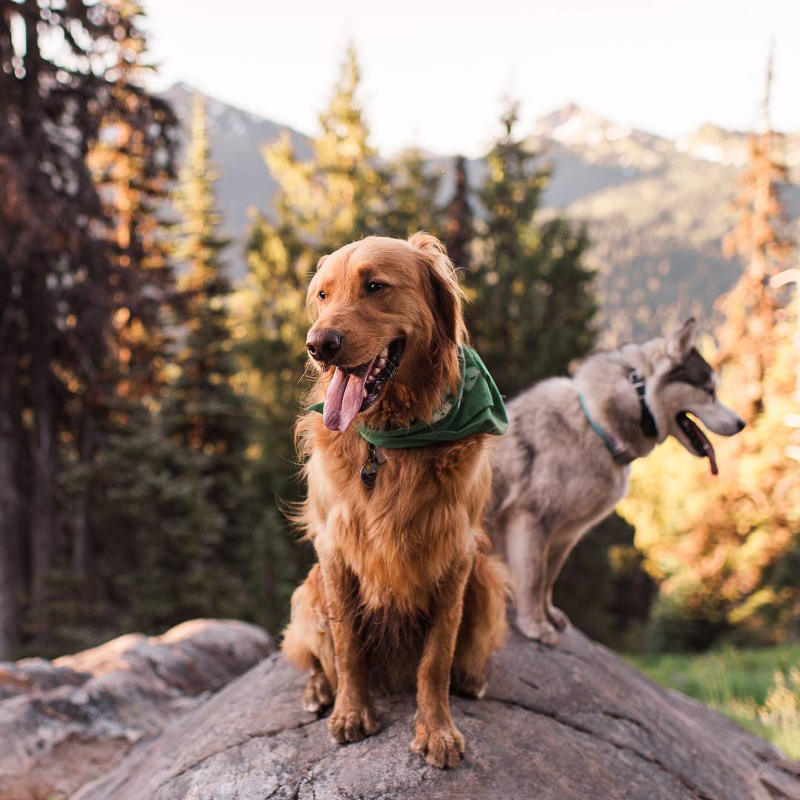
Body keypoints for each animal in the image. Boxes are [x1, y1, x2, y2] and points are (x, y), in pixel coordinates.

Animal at [282, 231, 506, 768]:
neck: (392, 437)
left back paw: (472, 677)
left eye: (375, 286)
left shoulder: (455, 550)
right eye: (323, 295)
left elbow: (437, 656)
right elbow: (346, 644)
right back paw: (319, 691)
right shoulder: (335, 548)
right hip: (308, 590)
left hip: (486, 577)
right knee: (317, 654)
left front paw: (437, 729)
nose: (319, 345)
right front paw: (350, 712)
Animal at [490, 318, 748, 644]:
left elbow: (548, 578)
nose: (742, 424)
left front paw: (548, 614)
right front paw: (535, 625)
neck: (597, 428)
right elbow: (533, 578)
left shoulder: (566, 532)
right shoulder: (532, 518)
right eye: (709, 391)